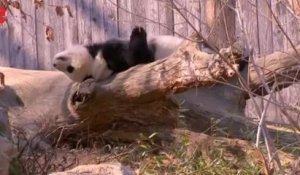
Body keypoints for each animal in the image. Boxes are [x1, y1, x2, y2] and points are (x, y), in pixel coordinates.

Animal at [52, 26, 183, 82]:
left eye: (69, 69)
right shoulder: (121, 64)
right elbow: (138, 58)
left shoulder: (107, 49)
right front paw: (138, 33)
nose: (54, 64)